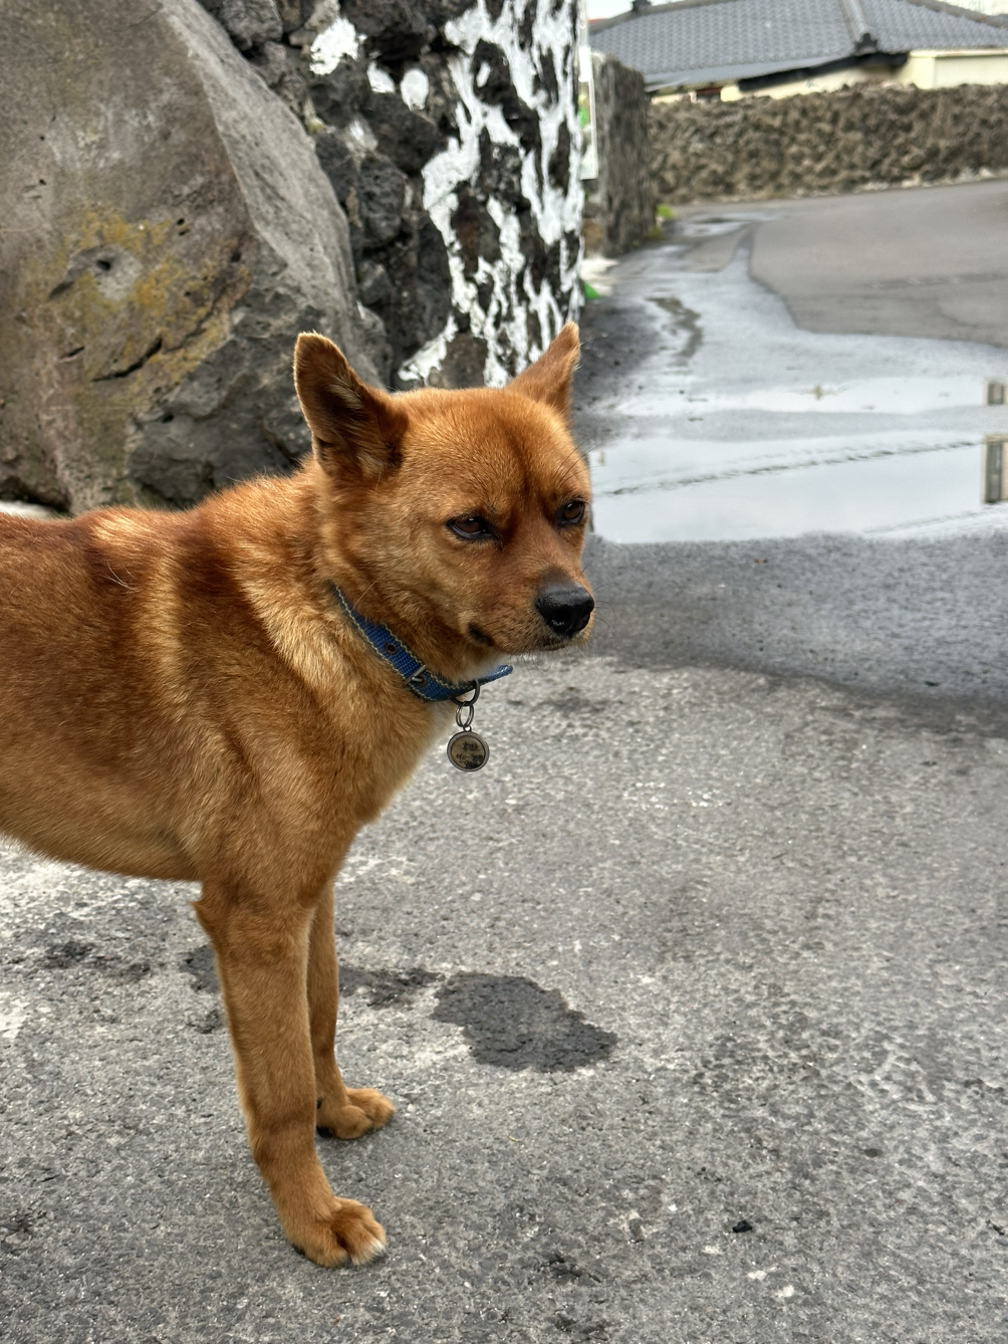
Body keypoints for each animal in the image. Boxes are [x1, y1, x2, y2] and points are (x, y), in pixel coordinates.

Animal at [0, 324, 594, 1266]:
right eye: (471, 526)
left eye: (571, 510)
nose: (575, 609)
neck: (336, 602)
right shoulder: (256, 922)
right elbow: (277, 1091)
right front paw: (313, 1218)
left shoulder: (310, 900)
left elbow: (320, 1024)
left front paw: (336, 1114)